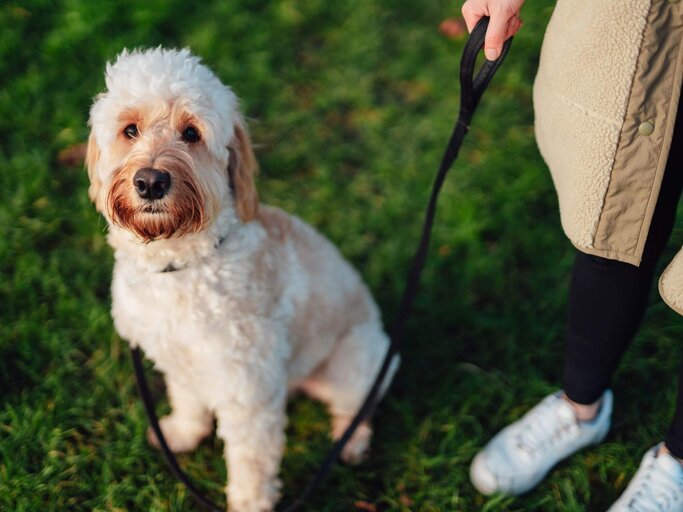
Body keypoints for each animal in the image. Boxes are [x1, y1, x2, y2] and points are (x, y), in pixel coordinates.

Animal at [84, 47, 400, 508]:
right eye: (130, 129)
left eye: (191, 133)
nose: (150, 181)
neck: (180, 265)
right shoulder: (180, 361)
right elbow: (189, 401)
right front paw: (182, 433)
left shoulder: (248, 390)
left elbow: (251, 462)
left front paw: (249, 503)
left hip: (358, 361)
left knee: (356, 406)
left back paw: (352, 441)